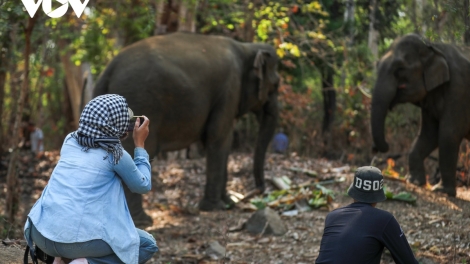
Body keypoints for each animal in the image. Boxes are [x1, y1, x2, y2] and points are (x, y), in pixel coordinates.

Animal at [93, 31, 280, 227]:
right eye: (276, 85)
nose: (260, 191)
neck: (246, 47)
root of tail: (109, 69)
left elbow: (223, 141)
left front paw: (228, 203)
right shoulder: (230, 90)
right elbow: (218, 137)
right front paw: (216, 207)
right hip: (139, 97)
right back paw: (142, 222)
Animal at [370, 33, 470, 198]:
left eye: (400, 69)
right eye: (377, 65)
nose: (375, 149)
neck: (433, 47)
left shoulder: (459, 89)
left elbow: (448, 134)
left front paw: (442, 190)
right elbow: (429, 134)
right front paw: (414, 181)